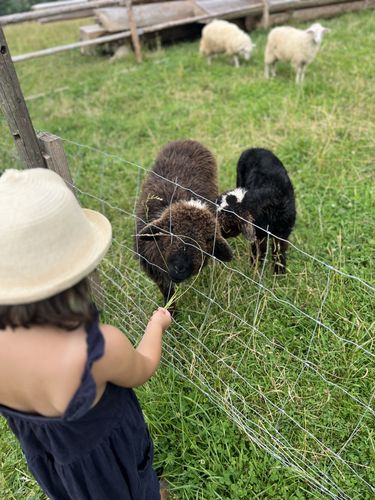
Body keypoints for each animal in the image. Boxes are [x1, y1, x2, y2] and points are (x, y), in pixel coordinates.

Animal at [135, 139, 234, 306]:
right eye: (170, 229)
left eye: (209, 239)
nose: (180, 268)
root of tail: (188, 140)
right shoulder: (153, 267)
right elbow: (167, 291)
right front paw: (171, 309)